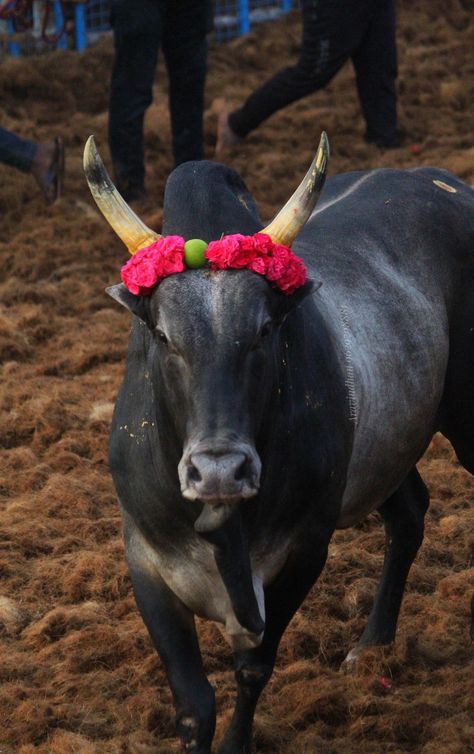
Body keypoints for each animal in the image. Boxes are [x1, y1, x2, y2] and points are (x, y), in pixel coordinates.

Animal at [83, 142, 472, 752]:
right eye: (163, 336)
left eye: (265, 330)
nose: (220, 471)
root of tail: (441, 180)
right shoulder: (145, 561)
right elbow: (194, 704)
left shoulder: (305, 549)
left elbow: (253, 669)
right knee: (409, 513)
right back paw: (373, 646)